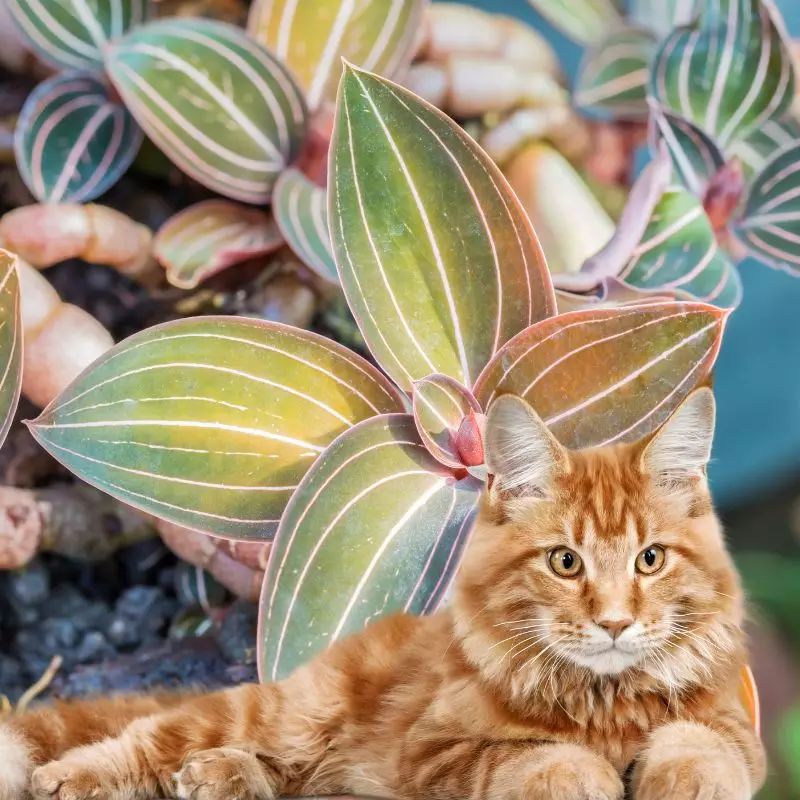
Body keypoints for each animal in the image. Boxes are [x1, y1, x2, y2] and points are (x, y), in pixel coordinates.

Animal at [0, 388, 764, 800]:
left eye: (649, 559)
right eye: (565, 562)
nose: (613, 622)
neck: (603, 703)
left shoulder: (732, 727)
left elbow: (699, 747)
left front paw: (682, 779)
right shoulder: (438, 752)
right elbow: (545, 757)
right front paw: (588, 775)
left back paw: (218, 776)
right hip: (285, 713)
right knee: (146, 740)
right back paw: (75, 776)